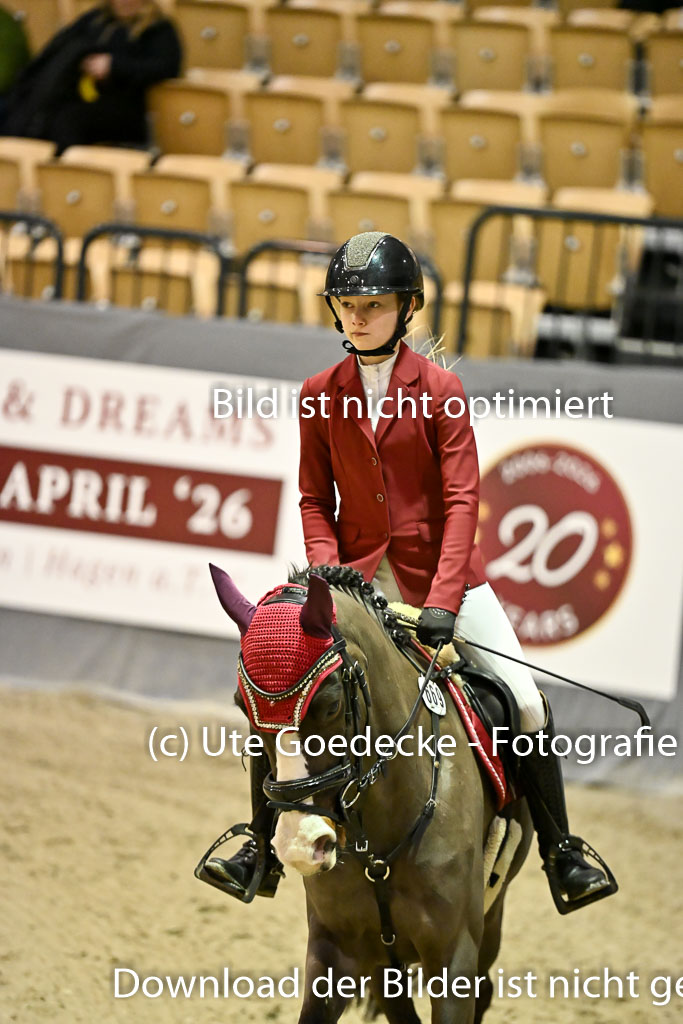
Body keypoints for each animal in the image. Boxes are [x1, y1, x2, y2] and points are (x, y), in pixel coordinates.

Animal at [210, 562, 534, 1024]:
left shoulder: (454, 957)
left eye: (330, 705)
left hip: (491, 915)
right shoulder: (334, 951)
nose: (300, 844)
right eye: (242, 705)